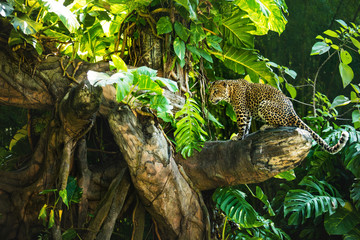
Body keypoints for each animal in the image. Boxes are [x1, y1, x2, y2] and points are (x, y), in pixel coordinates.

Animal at [208, 79, 348, 154]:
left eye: (215, 91)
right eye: (210, 91)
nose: (209, 99)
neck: (230, 92)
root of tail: (293, 111)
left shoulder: (241, 110)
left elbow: (242, 124)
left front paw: (238, 136)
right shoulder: (247, 112)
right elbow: (247, 124)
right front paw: (243, 135)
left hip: (264, 105)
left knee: (283, 123)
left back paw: (265, 126)